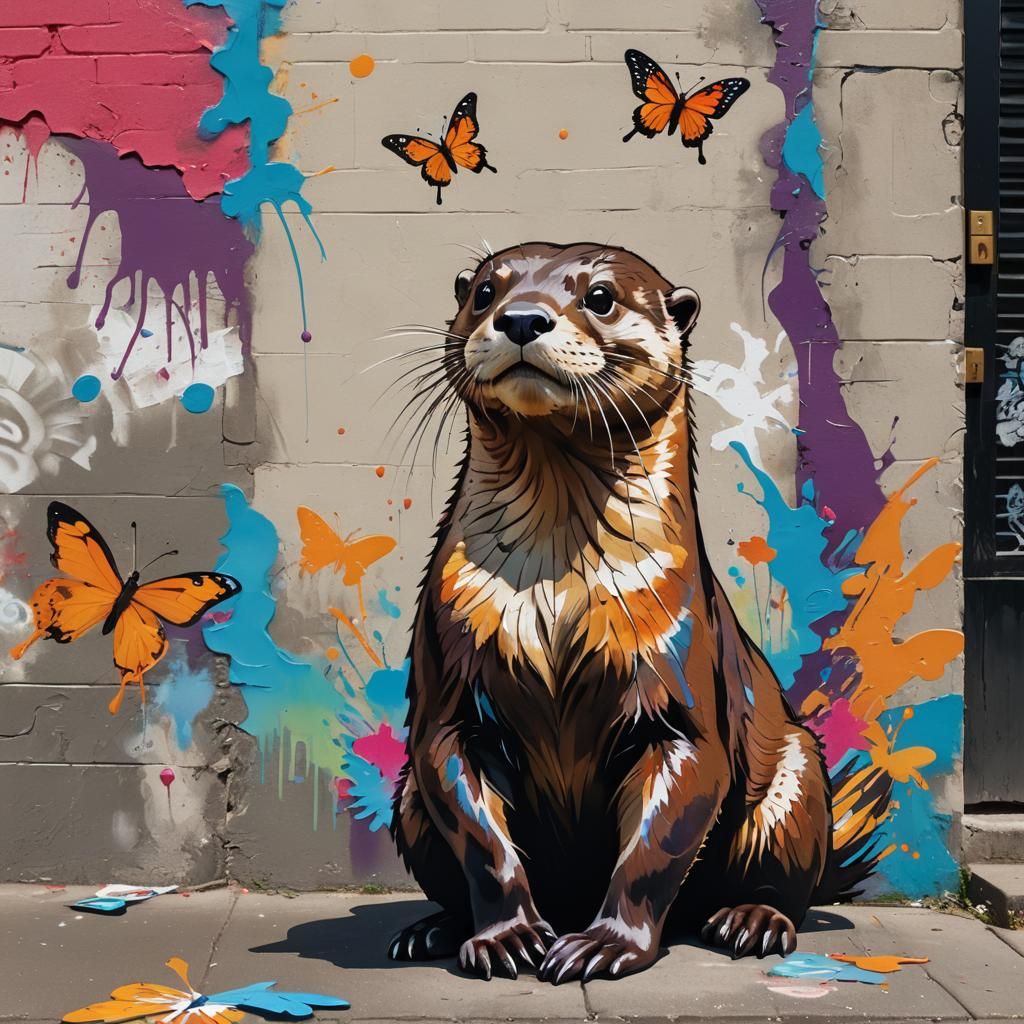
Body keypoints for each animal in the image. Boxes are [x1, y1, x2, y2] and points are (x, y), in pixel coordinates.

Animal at [387, 242, 870, 983]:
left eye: (601, 297)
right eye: (485, 292)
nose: (521, 318)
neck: (556, 592)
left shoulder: (679, 695)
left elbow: (655, 846)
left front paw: (607, 944)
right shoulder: (449, 693)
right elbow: (481, 840)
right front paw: (507, 938)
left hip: (796, 772)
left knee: (785, 881)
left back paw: (751, 921)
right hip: (407, 795)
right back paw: (431, 929)